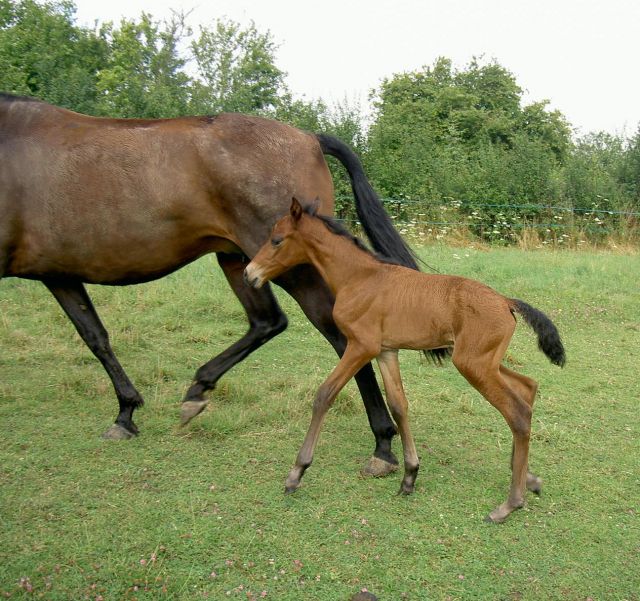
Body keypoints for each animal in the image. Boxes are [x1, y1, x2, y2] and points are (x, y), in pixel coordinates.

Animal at [0, 92, 420, 474]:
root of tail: (308, 138)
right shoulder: (59, 274)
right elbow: (95, 336)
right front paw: (126, 413)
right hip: (240, 261)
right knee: (268, 321)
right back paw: (197, 391)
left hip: (291, 266)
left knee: (337, 334)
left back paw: (383, 445)